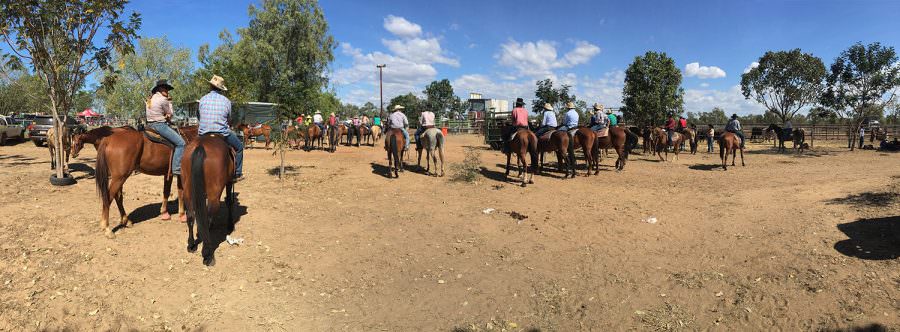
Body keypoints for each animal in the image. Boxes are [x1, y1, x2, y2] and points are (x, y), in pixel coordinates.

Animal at [178, 134, 234, 266]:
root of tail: (201, 146)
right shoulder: (229, 182)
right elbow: (229, 201)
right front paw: (230, 224)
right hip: (214, 194)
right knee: (207, 218)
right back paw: (208, 255)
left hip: (187, 191)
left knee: (191, 216)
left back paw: (191, 245)